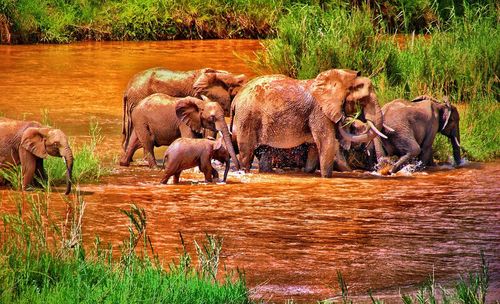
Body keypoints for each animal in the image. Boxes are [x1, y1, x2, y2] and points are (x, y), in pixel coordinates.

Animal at [232, 69, 384, 178]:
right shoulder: (319, 111)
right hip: (247, 117)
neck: (343, 76)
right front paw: (326, 178)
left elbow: (313, 148)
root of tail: (236, 98)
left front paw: (309, 173)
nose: (345, 118)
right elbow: (327, 143)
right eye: (363, 100)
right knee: (246, 153)